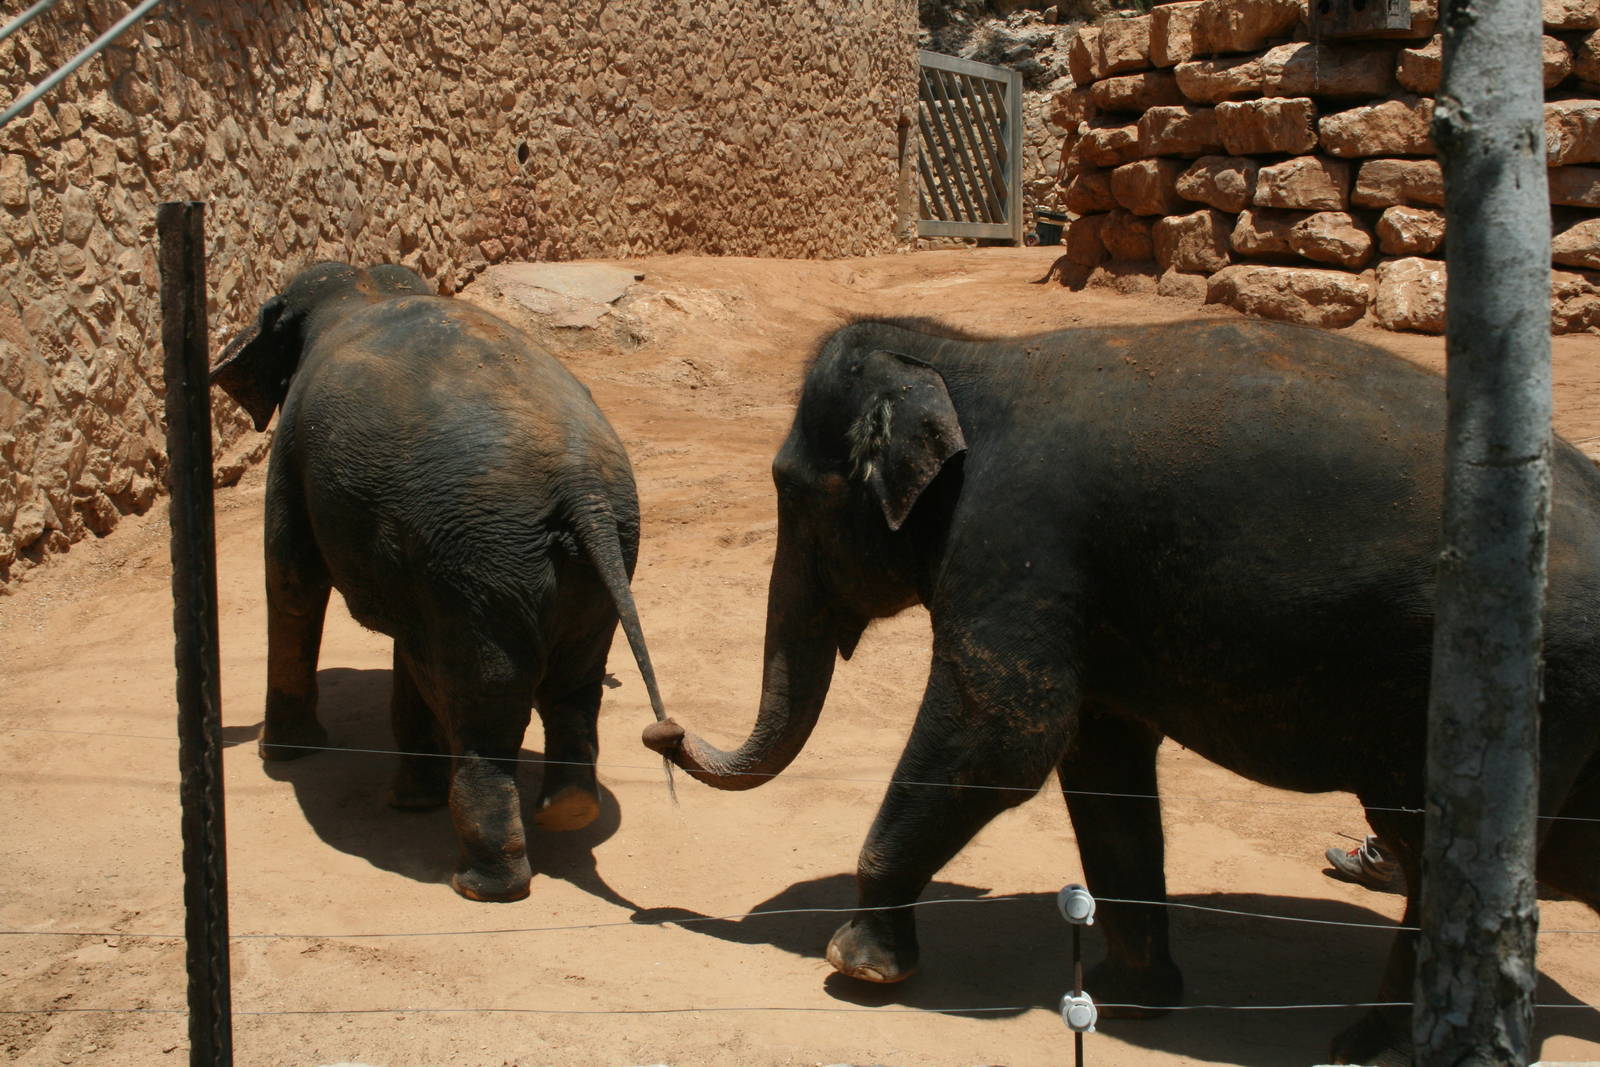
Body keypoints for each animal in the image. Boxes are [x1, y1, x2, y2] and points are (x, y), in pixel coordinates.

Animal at [213, 261, 667, 903]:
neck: (365, 288)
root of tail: (579, 486)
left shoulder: (291, 455)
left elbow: (292, 581)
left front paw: (287, 756)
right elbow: (410, 646)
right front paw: (412, 797)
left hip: (484, 559)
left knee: (484, 704)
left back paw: (481, 884)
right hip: (586, 562)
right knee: (568, 686)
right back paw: (568, 812)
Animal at [642, 317, 1600, 1062]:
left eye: (794, 493)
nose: (662, 729)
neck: (966, 356)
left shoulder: (1018, 545)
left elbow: (1003, 734)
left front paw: (858, 962)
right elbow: (1100, 764)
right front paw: (1132, 996)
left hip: (1508, 677)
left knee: (1442, 844)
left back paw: (1372, 1046)